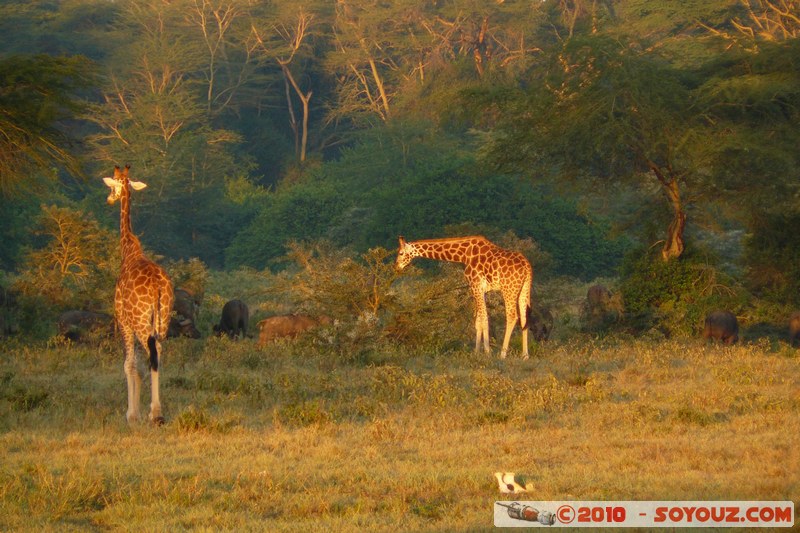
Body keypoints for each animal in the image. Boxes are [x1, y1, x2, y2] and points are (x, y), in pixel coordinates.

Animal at [103, 164, 173, 422]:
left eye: (113, 183)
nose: (109, 199)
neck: (128, 249)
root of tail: (157, 287)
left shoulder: (123, 319)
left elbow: (129, 364)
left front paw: (131, 414)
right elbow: (139, 365)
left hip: (142, 321)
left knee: (152, 352)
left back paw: (156, 413)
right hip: (163, 320)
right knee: (159, 351)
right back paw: (156, 411)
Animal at [396, 236, 536, 358]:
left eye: (401, 253)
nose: (396, 267)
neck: (463, 255)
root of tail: (527, 266)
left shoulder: (476, 286)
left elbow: (484, 318)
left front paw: (487, 352)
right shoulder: (480, 290)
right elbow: (478, 321)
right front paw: (476, 352)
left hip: (508, 289)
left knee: (512, 316)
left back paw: (502, 354)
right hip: (524, 289)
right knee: (524, 318)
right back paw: (525, 355)